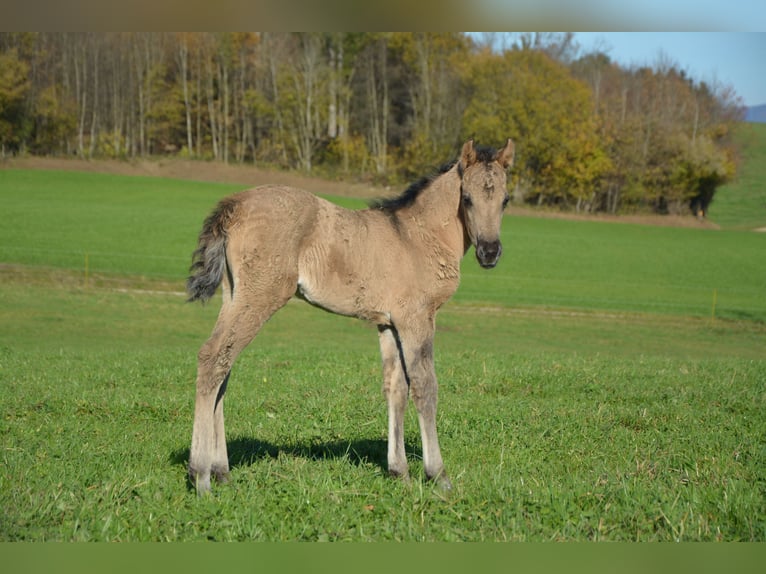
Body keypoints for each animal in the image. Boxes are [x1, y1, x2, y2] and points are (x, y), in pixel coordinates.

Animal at [186, 138, 515, 495]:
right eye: (466, 198)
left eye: (505, 200)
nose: (490, 252)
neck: (417, 236)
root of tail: (236, 204)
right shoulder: (417, 318)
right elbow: (425, 386)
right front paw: (438, 475)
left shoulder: (388, 323)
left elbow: (396, 388)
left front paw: (399, 471)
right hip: (260, 296)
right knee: (214, 357)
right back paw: (200, 475)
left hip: (233, 295)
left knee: (223, 367)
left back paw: (221, 471)